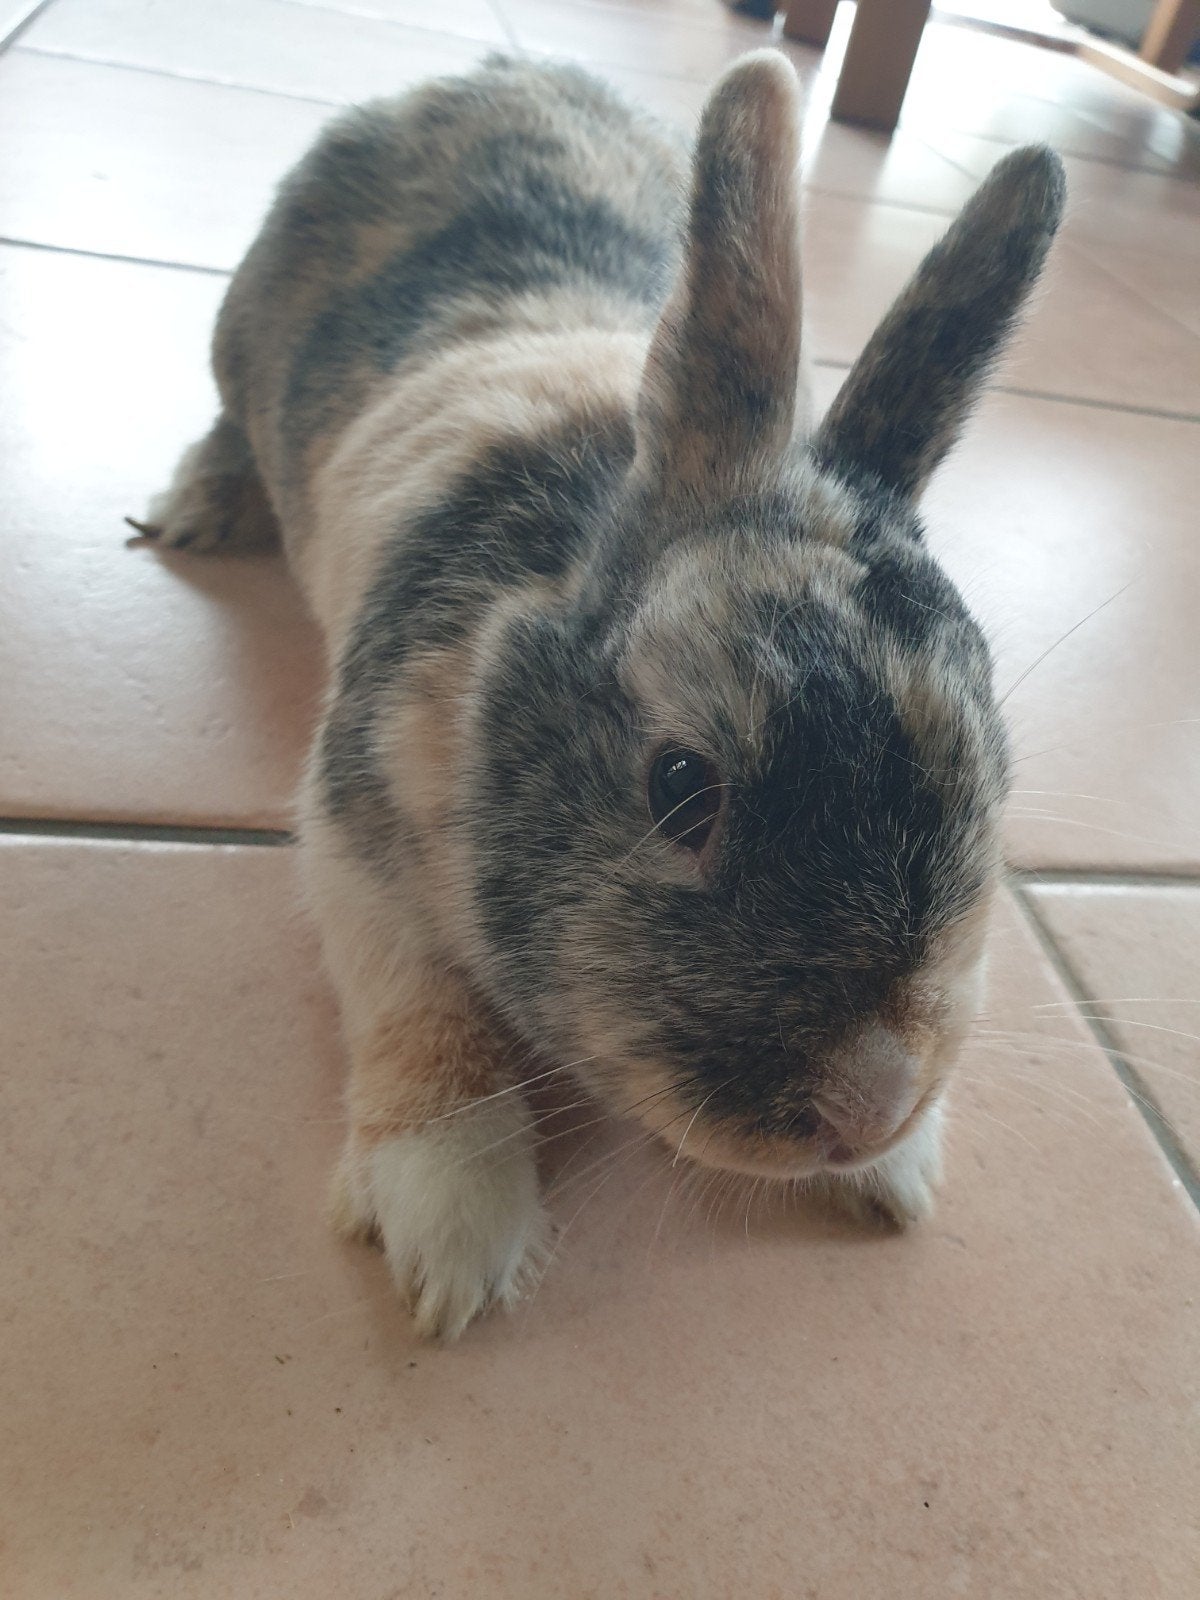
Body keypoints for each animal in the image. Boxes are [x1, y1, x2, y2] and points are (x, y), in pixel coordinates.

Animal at [136, 50, 1064, 1339]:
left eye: (992, 775)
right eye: (681, 788)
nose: (867, 1108)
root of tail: (485, 75)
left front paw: (898, 1172)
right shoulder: (351, 841)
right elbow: (425, 1017)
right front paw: (452, 1232)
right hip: (238, 337)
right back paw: (201, 505)